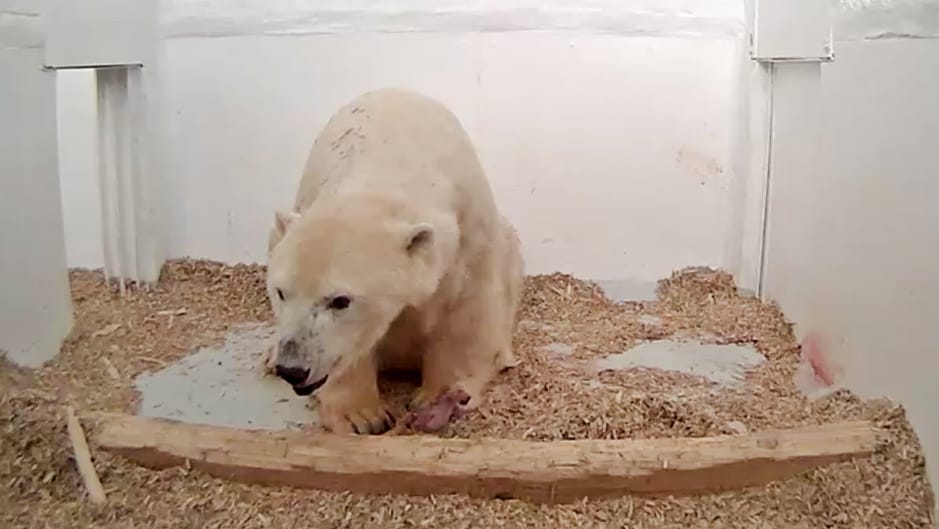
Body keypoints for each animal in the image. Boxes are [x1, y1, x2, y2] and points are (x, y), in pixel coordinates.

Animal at [264, 86, 524, 434]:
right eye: (281, 292)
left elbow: (464, 312)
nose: (292, 368)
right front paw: (362, 417)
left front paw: (436, 400)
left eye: (340, 300)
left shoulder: (469, 234)